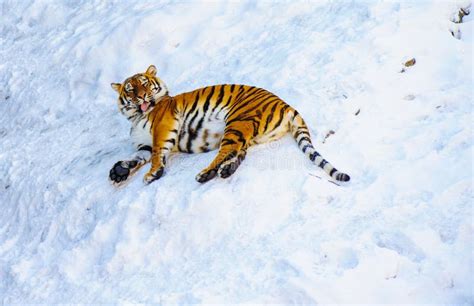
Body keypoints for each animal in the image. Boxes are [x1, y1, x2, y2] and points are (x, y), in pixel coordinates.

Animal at [109, 65, 350, 184]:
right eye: (131, 89)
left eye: (144, 84)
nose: (141, 96)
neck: (136, 116)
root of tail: (286, 105)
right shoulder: (143, 145)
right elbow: (136, 157)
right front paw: (119, 171)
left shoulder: (163, 127)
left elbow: (157, 153)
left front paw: (152, 174)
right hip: (248, 133)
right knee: (239, 152)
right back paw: (224, 171)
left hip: (237, 121)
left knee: (227, 151)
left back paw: (205, 174)